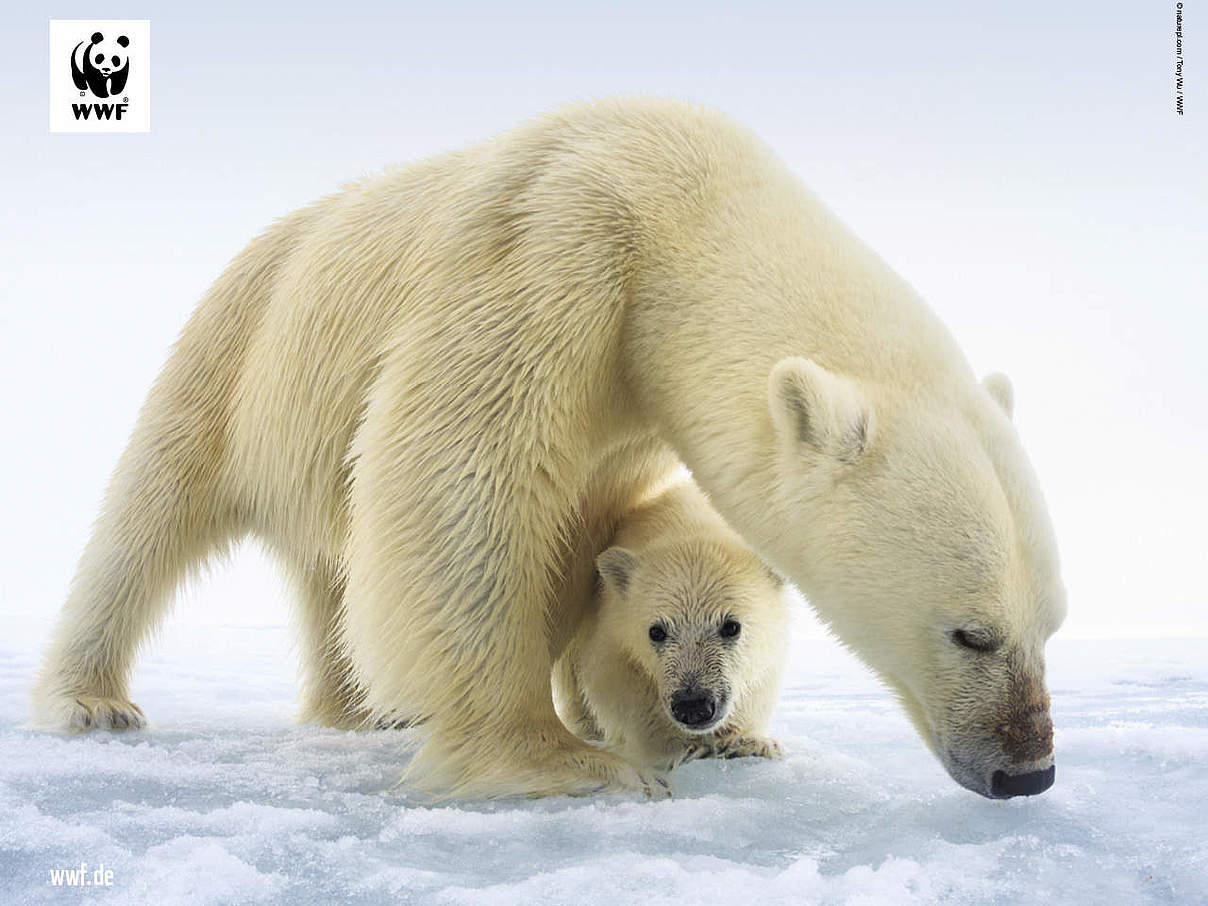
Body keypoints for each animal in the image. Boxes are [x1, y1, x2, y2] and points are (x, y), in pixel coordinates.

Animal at [33, 100, 1063, 802]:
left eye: (1050, 625)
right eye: (970, 631)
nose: (1028, 772)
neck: (680, 206)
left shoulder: (625, 415)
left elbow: (570, 546)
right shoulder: (552, 254)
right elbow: (455, 484)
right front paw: (563, 758)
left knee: (330, 566)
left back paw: (359, 707)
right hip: (238, 349)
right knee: (150, 512)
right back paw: (91, 701)